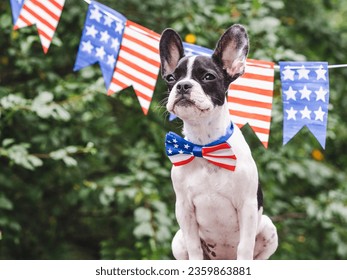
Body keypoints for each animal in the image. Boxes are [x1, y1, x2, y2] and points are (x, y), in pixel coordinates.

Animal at [161, 24, 280, 260]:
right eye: (171, 78)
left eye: (208, 76)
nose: (182, 85)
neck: (205, 146)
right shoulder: (184, 209)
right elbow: (194, 247)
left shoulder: (247, 206)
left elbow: (245, 247)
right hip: (177, 241)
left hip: (268, 228)